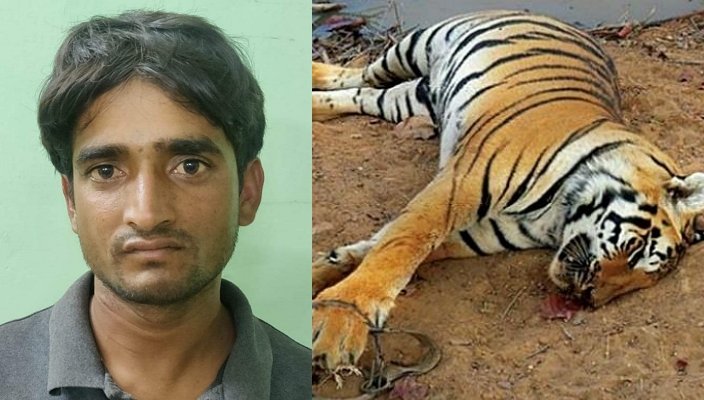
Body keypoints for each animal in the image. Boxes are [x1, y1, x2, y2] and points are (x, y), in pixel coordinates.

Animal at [311, 10, 704, 371]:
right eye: (637, 250)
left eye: (633, 286)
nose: (589, 297)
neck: (555, 218)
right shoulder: (459, 183)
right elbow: (402, 245)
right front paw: (340, 318)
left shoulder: (478, 234)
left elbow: (383, 244)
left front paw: (326, 268)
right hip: (414, 47)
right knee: (357, 73)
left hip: (411, 98)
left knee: (363, 94)